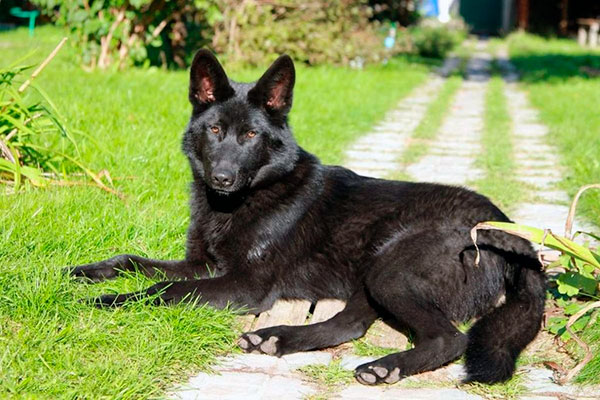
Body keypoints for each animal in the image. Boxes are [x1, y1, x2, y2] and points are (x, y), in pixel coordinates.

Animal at [68, 50, 548, 384]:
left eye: (251, 135)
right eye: (215, 130)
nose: (222, 178)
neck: (246, 200)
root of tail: (509, 231)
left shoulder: (245, 285)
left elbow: (162, 288)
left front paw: (107, 302)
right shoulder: (201, 263)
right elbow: (132, 261)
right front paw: (87, 272)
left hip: (391, 269)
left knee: (450, 338)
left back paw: (384, 367)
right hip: (373, 271)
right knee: (349, 324)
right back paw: (277, 338)